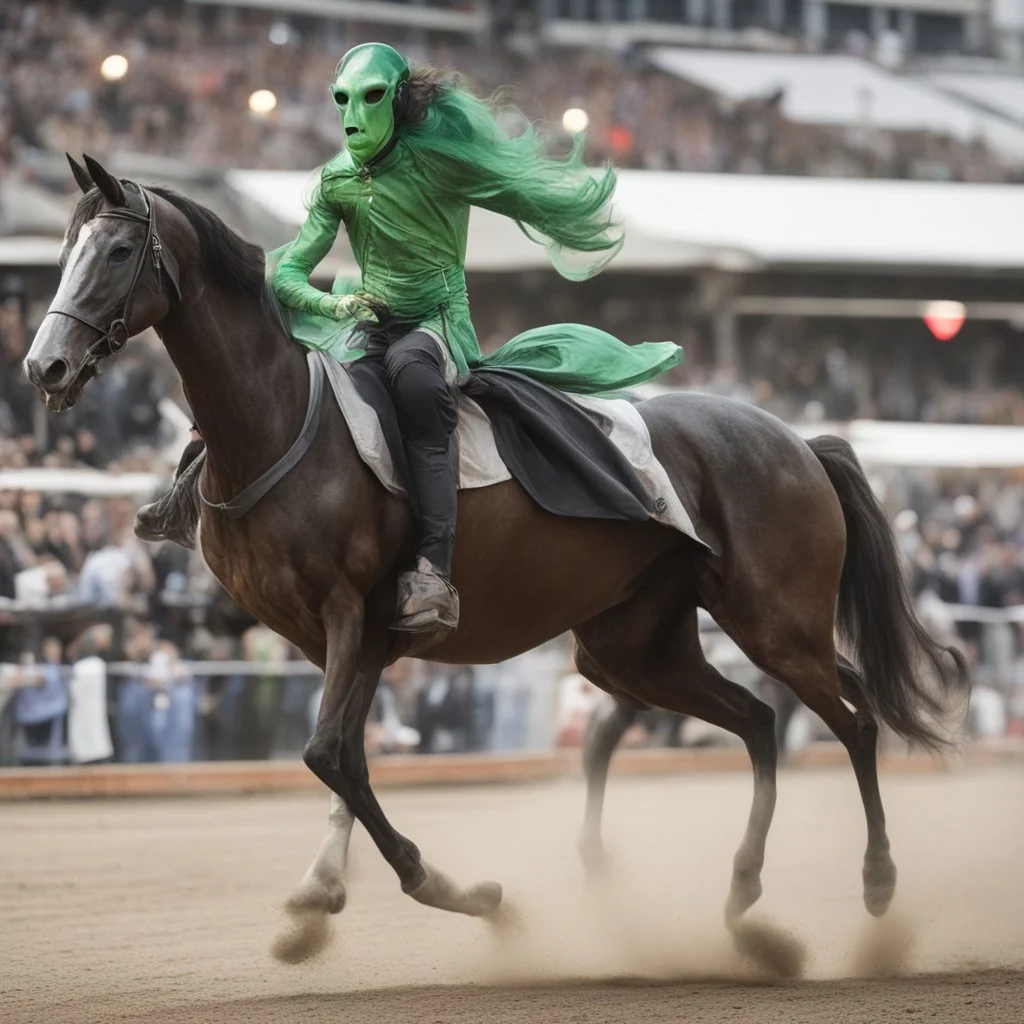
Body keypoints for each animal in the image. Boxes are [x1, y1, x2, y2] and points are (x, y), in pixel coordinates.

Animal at [25, 157, 966, 950]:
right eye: (64, 250)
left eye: (117, 250)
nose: (44, 365)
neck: (278, 426)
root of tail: (801, 441)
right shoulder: (342, 636)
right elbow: (344, 755)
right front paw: (328, 890)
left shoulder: (351, 612)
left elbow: (328, 753)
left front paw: (447, 888)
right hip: (635, 646)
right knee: (760, 721)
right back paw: (739, 889)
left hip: (775, 619)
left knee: (852, 718)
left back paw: (878, 883)